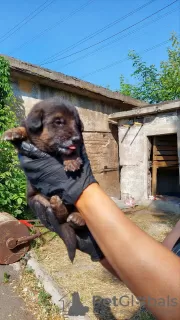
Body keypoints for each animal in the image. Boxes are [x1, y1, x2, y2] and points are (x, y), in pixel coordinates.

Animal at [2, 98, 86, 262]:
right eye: (58, 122)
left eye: (77, 124)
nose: (76, 139)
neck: (49, 150)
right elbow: (25, 130)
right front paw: (14, 132)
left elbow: (71, 151)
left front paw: (72, 160)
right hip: (38, 201)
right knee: (61, 218)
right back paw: (58, 207)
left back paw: (77, 218)